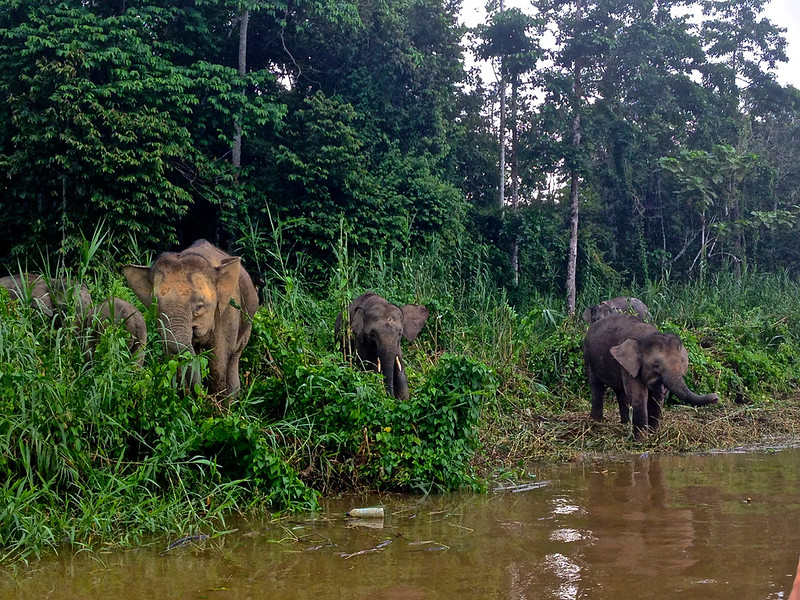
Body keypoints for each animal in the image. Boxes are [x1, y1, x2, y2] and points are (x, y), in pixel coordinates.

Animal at [123, 239, 258, 397]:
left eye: (199, 307)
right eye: (156, 306)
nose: (200, 394)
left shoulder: (227, 314)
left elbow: (217, 365)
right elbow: (173, 357)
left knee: (232, 360)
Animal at [583, 313, 719, 440]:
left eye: (682, 363)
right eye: (655, 366)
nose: (716, 397)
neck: (648, 335)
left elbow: (657, 397)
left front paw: (654, 434)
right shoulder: (629, 365)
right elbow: (638, 395)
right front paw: (642, 440)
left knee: (620, 392)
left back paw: (625, 425)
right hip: (588, 354)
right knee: (596, 386)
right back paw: (596, 422)